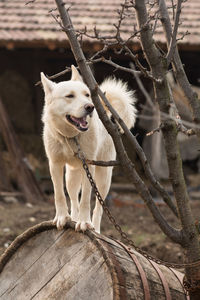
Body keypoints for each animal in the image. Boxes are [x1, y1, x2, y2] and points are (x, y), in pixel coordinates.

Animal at [41, 67, 137, 233]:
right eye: (70, 96)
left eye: (86, 94)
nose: (90, 107)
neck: (71, 137)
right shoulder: (55, 164)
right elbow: (59, 195)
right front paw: (62, 218)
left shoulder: (89, 166)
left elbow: (85, 198)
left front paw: (84, 223)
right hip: (71, 177)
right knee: (73, 200)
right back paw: (73, 218)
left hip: (103, 179)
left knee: (99, 208)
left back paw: (95, 229)